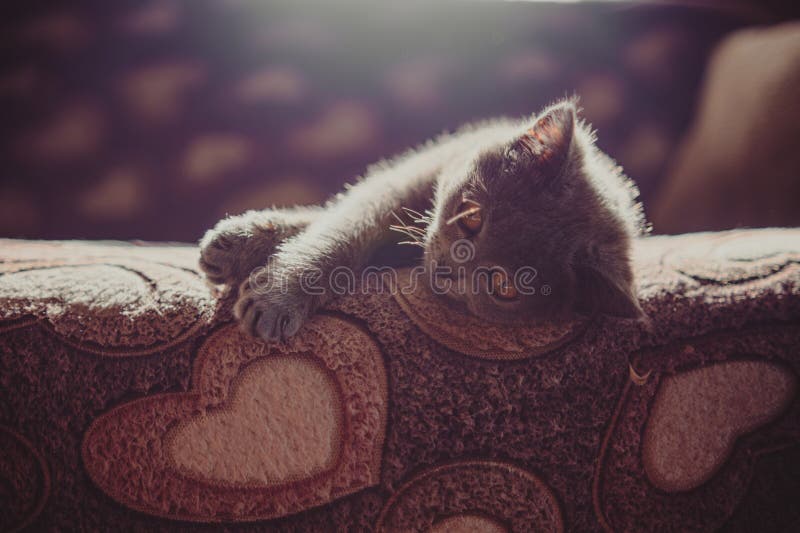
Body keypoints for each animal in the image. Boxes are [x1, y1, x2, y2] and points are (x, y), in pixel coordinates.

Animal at [197, 98, 648, 340]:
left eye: (503, 286)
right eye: (471, 217)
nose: (449, 271)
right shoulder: (402, 182)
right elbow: (340, 231)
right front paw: (275, 294)